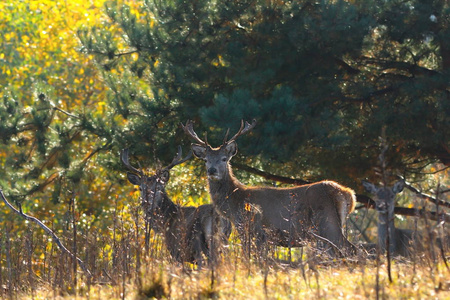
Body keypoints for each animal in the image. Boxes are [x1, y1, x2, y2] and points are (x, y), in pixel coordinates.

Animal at [182, 120, 356, 255]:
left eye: (224, 158)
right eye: (206, 160)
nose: (212, 170)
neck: (235, 203)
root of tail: (347, 194)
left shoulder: (252, 229)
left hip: (327, 222)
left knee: (352, 249)